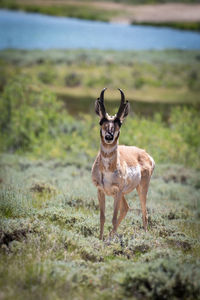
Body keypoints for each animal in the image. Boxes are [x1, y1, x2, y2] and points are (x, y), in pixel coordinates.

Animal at [91, 88, 155, 240]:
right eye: (101, 121)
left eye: (119, 122)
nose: (109, 137)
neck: (108, 169)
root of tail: (144, 153)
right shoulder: (101, 191)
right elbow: (102, 217)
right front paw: (101, 238)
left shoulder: (117, 191)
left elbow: (113, 218)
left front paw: (110, 241)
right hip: (124, 194)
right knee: (126, 208)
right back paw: (110, 234)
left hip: (141, 189)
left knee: (144, 212)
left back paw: (145, 235)